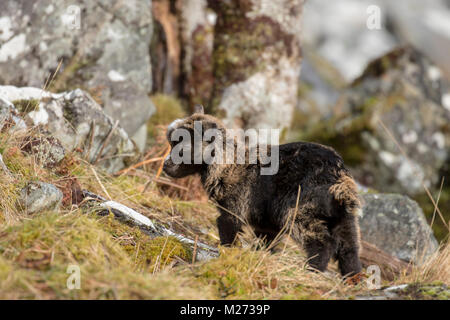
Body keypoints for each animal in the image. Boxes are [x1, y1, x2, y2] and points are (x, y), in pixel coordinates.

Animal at [162, 105, 362, 278]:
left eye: (181, 146)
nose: (165, 165)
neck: (227, 164)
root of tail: (340, 177)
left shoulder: (234, 207)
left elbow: (228, 231)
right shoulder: (266, 222)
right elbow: (267, 243)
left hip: (300, 209)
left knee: (323, 243)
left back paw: (311, 270)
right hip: (344, 216)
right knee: (349, 247)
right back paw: (352, 279)